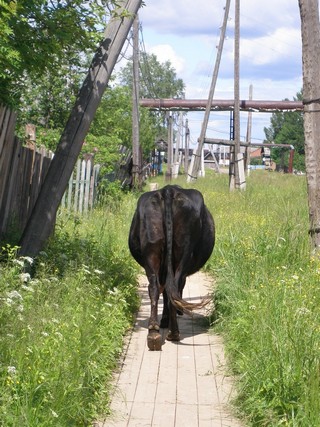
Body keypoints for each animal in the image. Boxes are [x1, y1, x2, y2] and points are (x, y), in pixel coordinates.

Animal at [128, 185, 215, 352]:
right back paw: (173, 332)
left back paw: (154, 333)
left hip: (151, 249)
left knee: (155, 288)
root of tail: (168, 190)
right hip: (184, 251)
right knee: (175, 284)